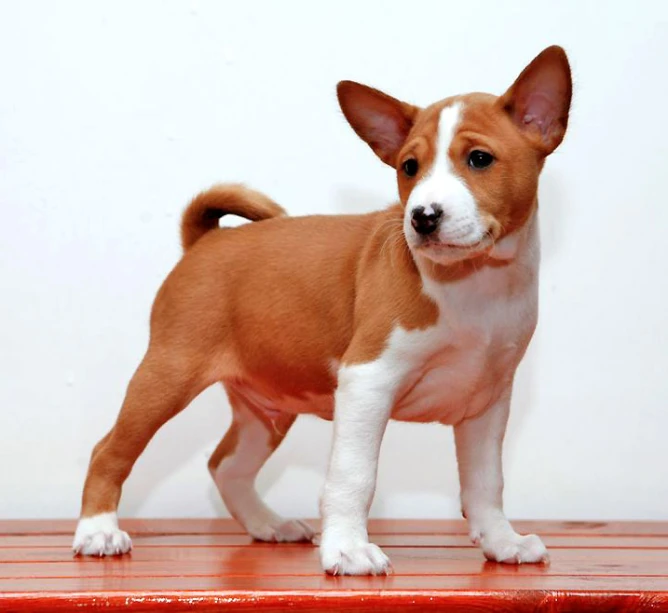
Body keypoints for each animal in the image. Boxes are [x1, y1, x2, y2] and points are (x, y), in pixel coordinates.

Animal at [74, 46, 576, 572]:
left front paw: (502, 541)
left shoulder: (486, 401)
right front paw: (349, 548)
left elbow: (486, 483)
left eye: (480, 159)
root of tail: (205, 241)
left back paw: (267, 525)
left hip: (265, 410)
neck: (474, 286)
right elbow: (353, 476)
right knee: (109, 451)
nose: (422, 217)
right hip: (166, 375)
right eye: (409, 167)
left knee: (225, 465)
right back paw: (98, 531)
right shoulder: (367, 381)